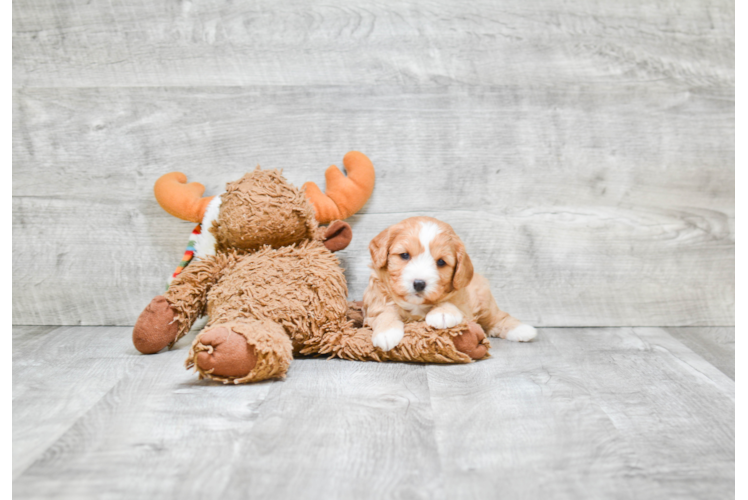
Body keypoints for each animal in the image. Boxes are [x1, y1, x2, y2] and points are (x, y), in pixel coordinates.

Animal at [364, 216, 536, 352]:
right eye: (404, 255)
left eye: (441, 262)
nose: (419, 284)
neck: (416, 306)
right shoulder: (374, 301)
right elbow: (383, 313)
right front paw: (386, 332)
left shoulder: (464, 302)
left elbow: (452, 300)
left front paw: (442, 312)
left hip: (485, 302)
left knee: (497, 317)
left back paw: (523, 329)